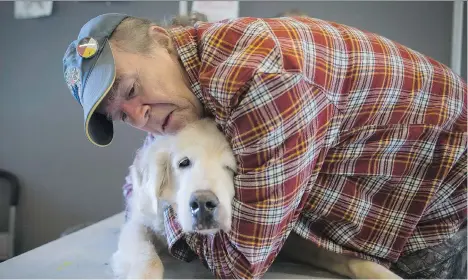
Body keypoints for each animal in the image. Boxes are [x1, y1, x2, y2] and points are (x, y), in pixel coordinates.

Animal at [109, 118, 398, 280]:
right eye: (183, 163)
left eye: (231, 168)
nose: (202, 204)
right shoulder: (141, 221)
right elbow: (147, 260)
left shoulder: (286, 240)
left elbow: (345, 258)